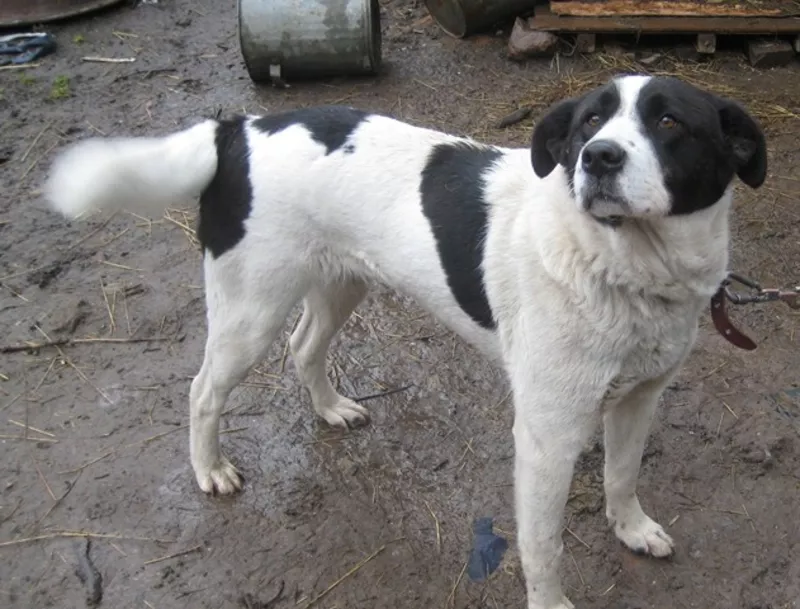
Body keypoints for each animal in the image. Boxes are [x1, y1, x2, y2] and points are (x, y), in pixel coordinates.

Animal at [45, 73, 768, 604]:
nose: (598, 159)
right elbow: (543, 544)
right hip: (249, 311)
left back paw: (330, 409)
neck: (623, 267)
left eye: (670, 122)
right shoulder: (547, 434)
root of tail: (237, 129)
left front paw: (632, 528)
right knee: (202, 390)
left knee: (304, 347)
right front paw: (552, 599)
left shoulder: (641, 396)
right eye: (590, 122)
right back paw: (209, 469)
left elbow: (621, 474)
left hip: (340, 284)